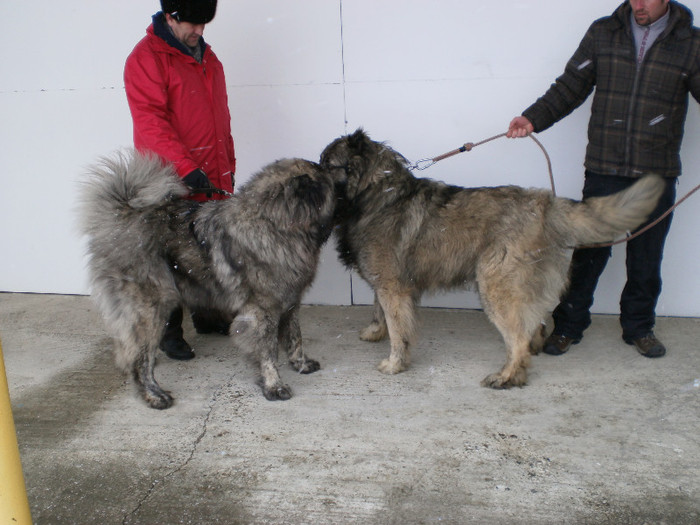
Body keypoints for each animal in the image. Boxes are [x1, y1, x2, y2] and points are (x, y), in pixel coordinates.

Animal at [80, 149, 338, 408]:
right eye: (330, 183)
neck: (274, 224)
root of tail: (122, 218)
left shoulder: (290, 300)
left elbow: (295, 337)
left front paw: (301, 364)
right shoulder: (262, 310)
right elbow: (268, 350)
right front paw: (274, 385)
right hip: (151, 309)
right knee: (140, 358)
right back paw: (154, 394)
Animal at [320, 129, 664, 386]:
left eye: (328, 164)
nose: (313, 173)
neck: (376, 191)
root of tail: (546, 205)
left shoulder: (393, 287)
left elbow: (397, 328)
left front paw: (395, 362)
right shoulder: (387, 282)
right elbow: (379, 312)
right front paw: (375, 332)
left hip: (496, 285)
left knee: (518, 339)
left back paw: (507, 377)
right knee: (534, 322)